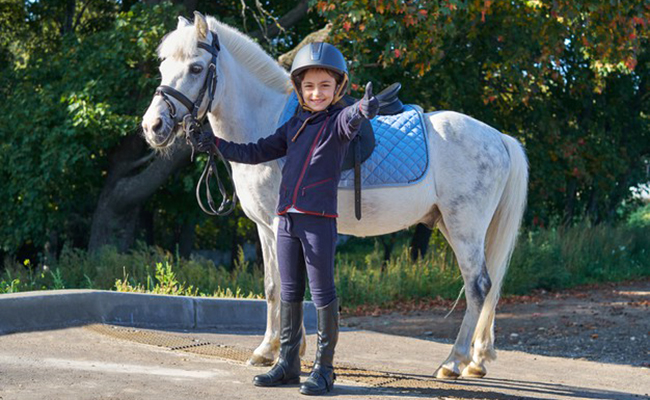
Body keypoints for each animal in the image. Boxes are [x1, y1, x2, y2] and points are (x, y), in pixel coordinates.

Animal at [142, 12, 528, 378]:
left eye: (196, 67)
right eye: (163, 65)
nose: (153, 126)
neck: (271, 122)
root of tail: (499, 138)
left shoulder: (280, 225)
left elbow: (289, 286)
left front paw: (287, 352)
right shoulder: (265, 229)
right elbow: (272, 287)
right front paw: (268, 350)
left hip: (465, 227)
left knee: (478, 286)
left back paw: (453, 362)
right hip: (454, 226)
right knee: (489, 286)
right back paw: (477, 360)